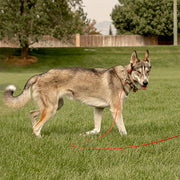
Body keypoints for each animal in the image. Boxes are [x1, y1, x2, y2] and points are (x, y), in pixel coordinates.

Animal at [3, 50, 151, 137]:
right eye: (139, 72)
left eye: (148, 71)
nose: (145, 83)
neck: (124, 77)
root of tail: (41, 75)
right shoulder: (116, 109)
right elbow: (123, 130)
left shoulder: (98, 108)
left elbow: (96, 129)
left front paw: (86, 134)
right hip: (51, 109)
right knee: (36, 126)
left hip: (55, 106)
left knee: (32, 114)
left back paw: (37, 134)